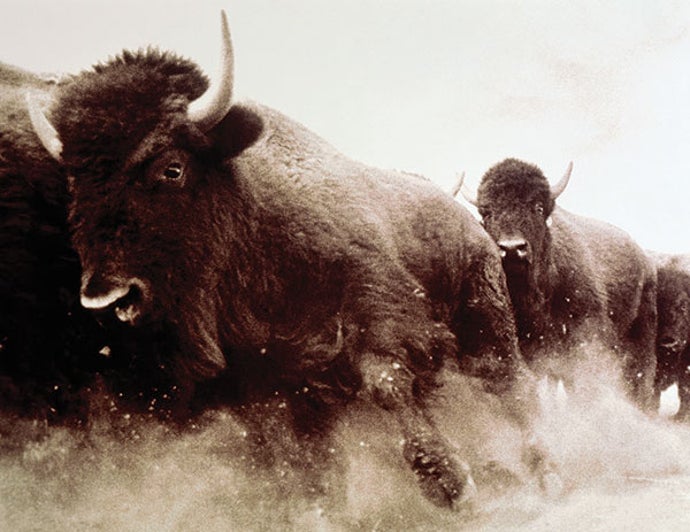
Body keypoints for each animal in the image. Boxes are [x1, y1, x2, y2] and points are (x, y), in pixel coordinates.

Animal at [28, 13, 553, 508]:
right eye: (75, 180)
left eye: (171, 169)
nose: (106, 297)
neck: (253, 218)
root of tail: (469, 221)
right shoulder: (274, 384)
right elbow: (300, 458)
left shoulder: (376, 319)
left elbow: (386, 384)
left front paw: (451, 487)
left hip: (486, 323)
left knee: (514, 386)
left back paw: (546, 472)